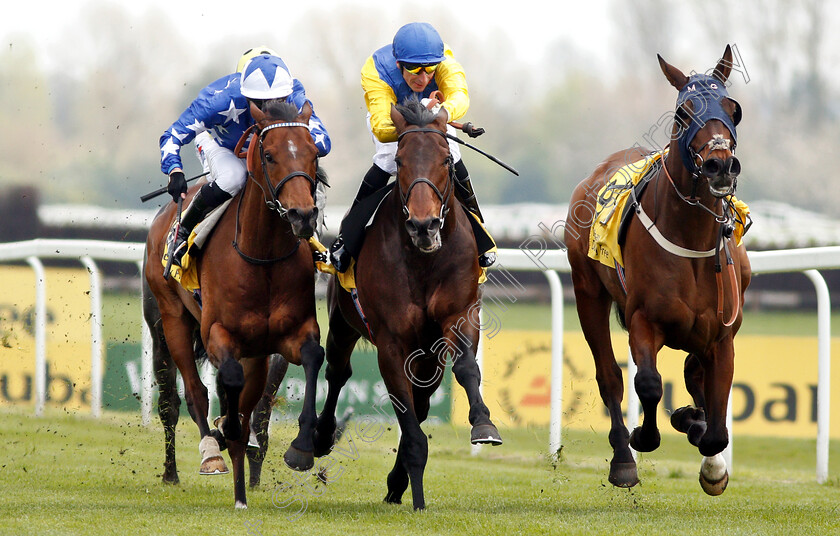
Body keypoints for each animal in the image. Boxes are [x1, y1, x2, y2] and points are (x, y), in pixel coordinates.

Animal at [143, 99, 326, 506]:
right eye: (270, 155)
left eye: (313, 153)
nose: (303, 215)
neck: (263, 257)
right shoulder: (217, 333)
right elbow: (224, 382)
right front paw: (224, 435)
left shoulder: (289, 335)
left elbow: (309, 358)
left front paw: (301, 448)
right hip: (169, 320)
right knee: (186, 395)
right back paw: (195, 460)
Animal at [312, 100, 502, 510]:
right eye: (399, 161)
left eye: (446, 159)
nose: (424, 225)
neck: (423, 259)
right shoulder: (391, 341)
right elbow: (405, 414)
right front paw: (414, 491)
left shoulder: (459, 316)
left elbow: (466, 368)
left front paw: (483, 424)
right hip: (343, 322)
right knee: (337, 373)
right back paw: (318, 439)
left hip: (427, 352)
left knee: (423, 400)